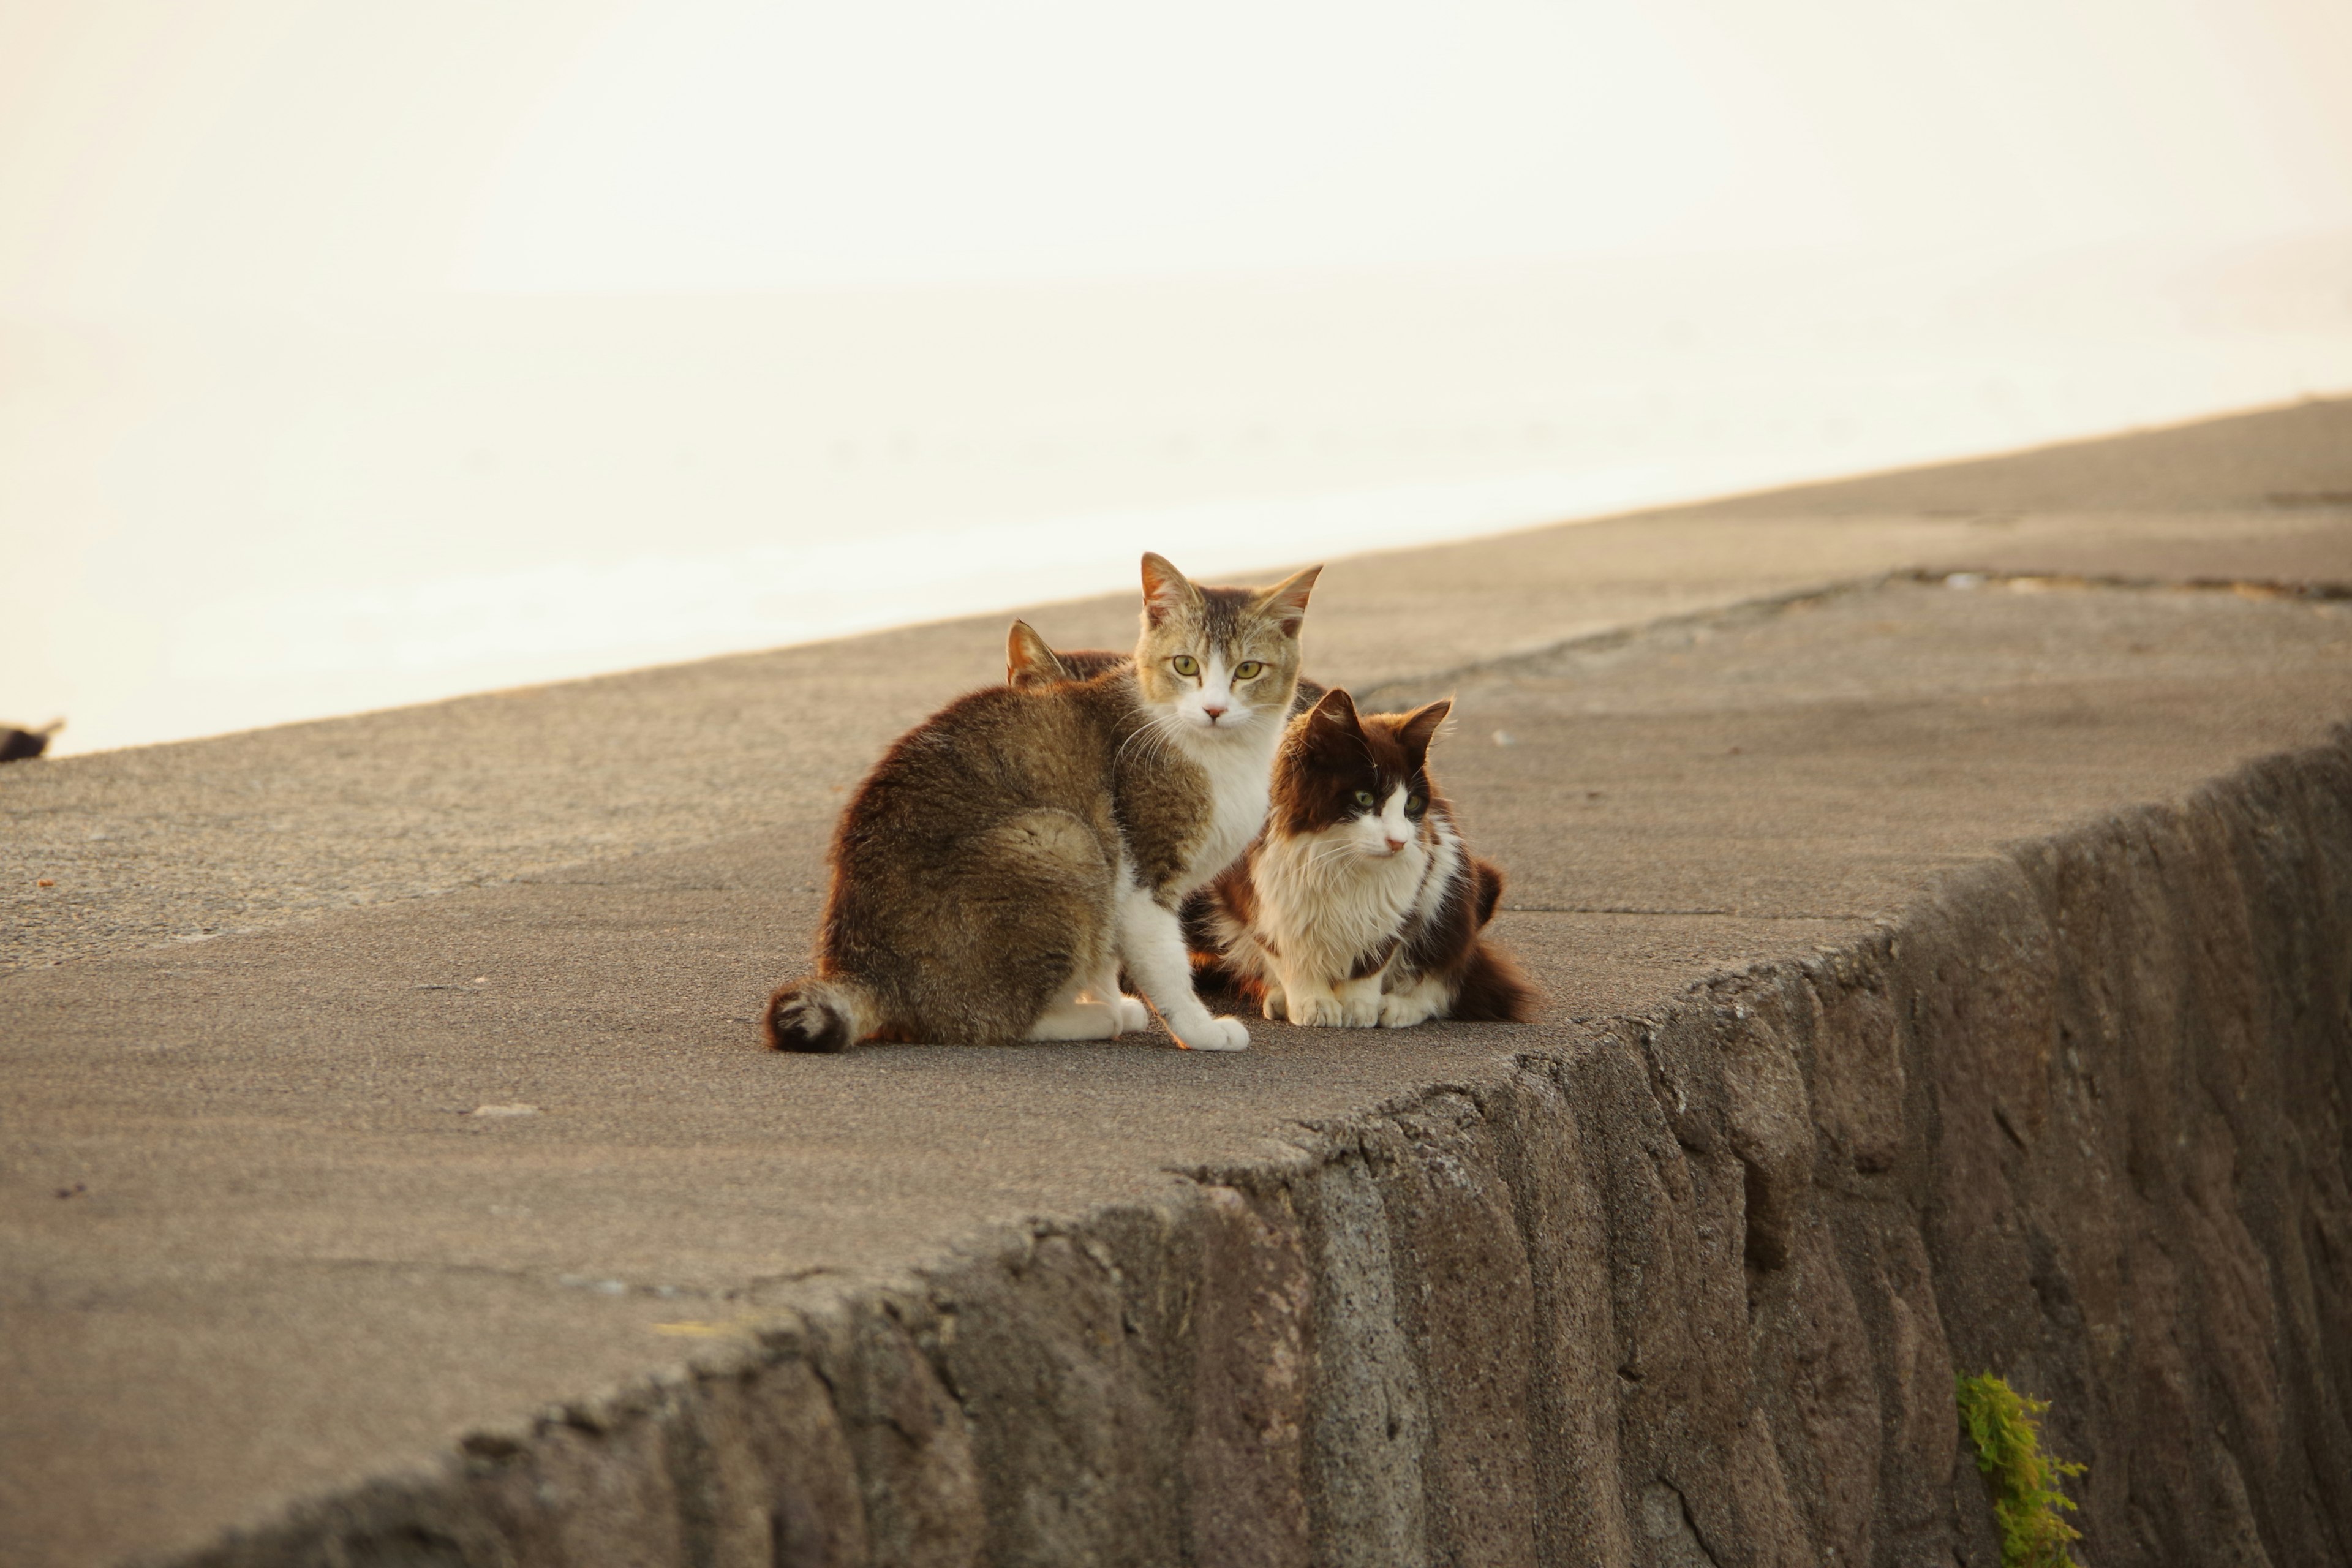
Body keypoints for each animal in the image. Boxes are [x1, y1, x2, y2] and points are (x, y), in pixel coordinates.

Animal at [771, 552, 1326, 1053]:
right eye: (1185, 665)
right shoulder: (1141, 875)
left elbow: (1106, 957)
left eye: (1248, 670)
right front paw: (1200, 1030)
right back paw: (1095, 1019)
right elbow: (1166, 965)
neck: (1221, 754)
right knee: (986, 1022)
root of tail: (862, 970)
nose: (1214, 709)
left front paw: (1112, 997)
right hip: (1063, 840)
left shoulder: (1117, 888)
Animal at [1194, 686, 1543, 1030]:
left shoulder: (1407, 891)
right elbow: (1285, 950)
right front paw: (1313, 1001)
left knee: (1448, 975)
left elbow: (1376, 953)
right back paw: (1280, 997)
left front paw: (1359, 1005)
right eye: (1364, 798)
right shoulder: (1255, 890)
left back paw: (1399, 1006)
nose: (1399, 841)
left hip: (1453, 882)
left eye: (1412, 804)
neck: (1338, 858)